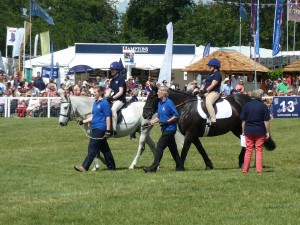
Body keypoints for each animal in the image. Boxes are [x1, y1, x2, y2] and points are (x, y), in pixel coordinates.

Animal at [142, 87, 276, 170]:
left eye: (152, 97)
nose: (145, 114)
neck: (185, 107)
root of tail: (251, 99)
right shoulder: (194, 135)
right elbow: (201, 149)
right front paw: (209, 165)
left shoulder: (190, 134)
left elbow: (185, 149)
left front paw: (180, 167)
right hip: (236, 129)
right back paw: (244, 162)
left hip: (240, 128)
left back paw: (243, 162)